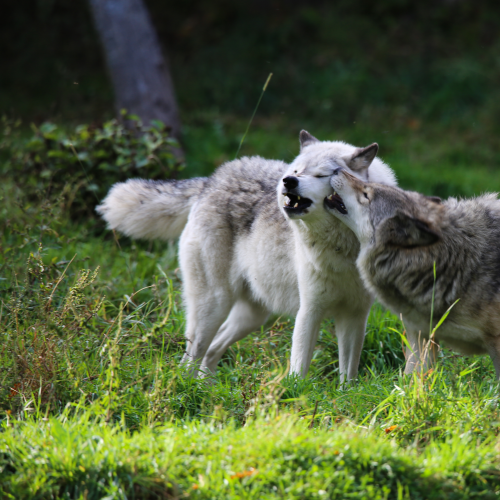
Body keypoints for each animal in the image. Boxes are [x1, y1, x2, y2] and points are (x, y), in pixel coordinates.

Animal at [95, 131, 396, 380]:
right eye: (297, 171)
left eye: (322, 175)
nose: (288, 181)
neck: (342, 248)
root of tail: (211, 180)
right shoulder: (309, 310)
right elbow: (299, 369)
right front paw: (296, 397)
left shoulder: (355, 315)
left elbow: (349, 374)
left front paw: (344, 395)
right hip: (213, 307)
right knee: (190, 358)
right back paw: (185, 389)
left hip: (251, 317)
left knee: (212, 350)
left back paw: (206, 389)